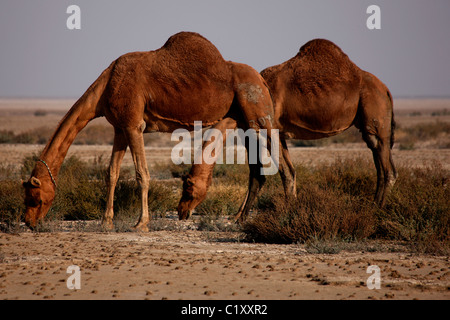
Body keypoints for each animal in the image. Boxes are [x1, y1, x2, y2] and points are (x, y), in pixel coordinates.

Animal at [24, 31, 278, 230]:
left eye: (34, 197)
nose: (28, 221)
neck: (106, 86)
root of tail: (262, 80)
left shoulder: (133, 125)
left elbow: (142, 174)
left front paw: (141, 223)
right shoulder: (119, 128)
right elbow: (111, 173)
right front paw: (106, 222)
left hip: (258, 113)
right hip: (243, 120)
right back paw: (240, 218)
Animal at [178, 38, 398, 222]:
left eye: (187, 185)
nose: (181, 211)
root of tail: (387, 90)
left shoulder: (266, 129)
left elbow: (277, 172)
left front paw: (284, 213)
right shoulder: (274, 133)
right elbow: (276, 172)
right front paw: (239, 217)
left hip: (375, 118)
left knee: (387, 169)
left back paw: (375, 211)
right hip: (371, 126)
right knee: (384, 165)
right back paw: (373, 207)